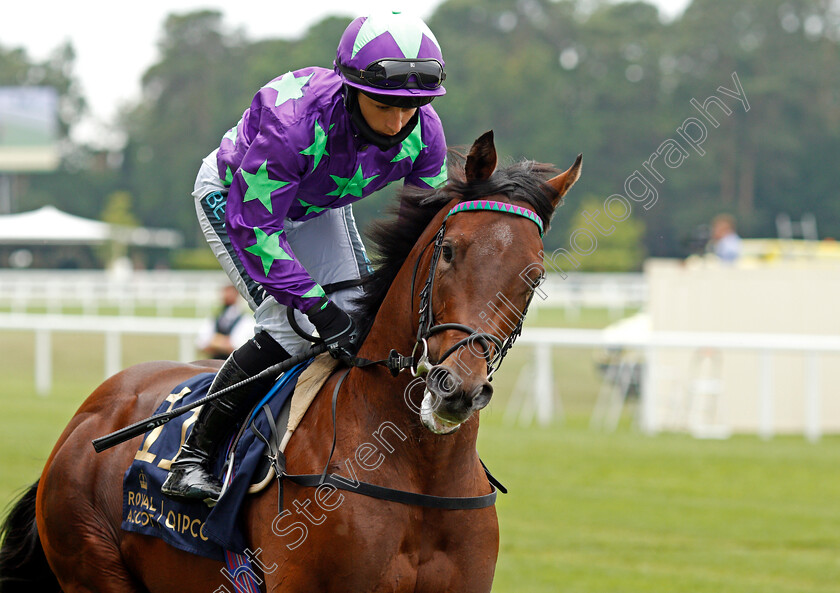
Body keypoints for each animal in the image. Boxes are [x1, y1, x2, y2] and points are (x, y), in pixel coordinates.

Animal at [0, 131, 580, 592]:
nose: (455, 387)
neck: (419, 470)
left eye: (534, 275)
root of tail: (83, 423)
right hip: (92, 565)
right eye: (450, 251)